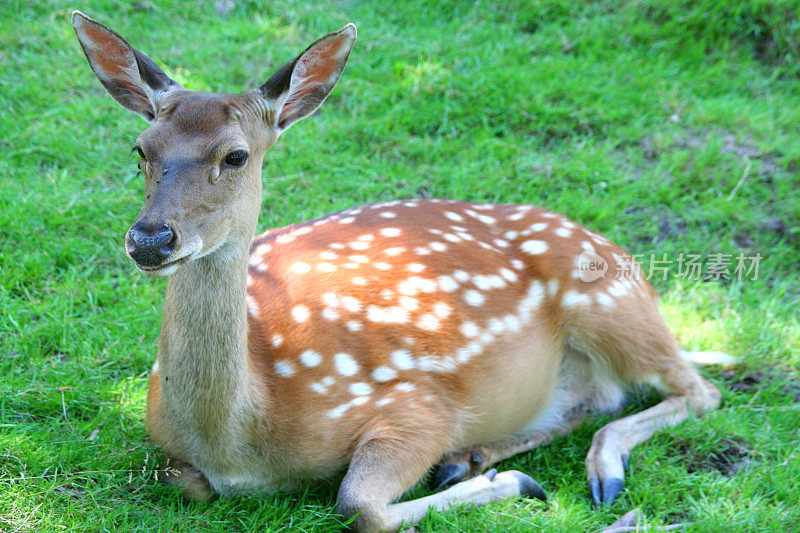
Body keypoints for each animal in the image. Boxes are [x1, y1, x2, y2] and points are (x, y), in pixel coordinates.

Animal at [72, 10, 736, 528]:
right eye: (141, 150)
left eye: (235, 156)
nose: (150, 238)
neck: (241, 438)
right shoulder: (169, 447)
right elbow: (182, 482)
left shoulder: (417, 403)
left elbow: (357, 504)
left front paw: (519, 485)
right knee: (599, 398)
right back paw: (476, 457)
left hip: (609, 300)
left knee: (699, 390)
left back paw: (596, 474)